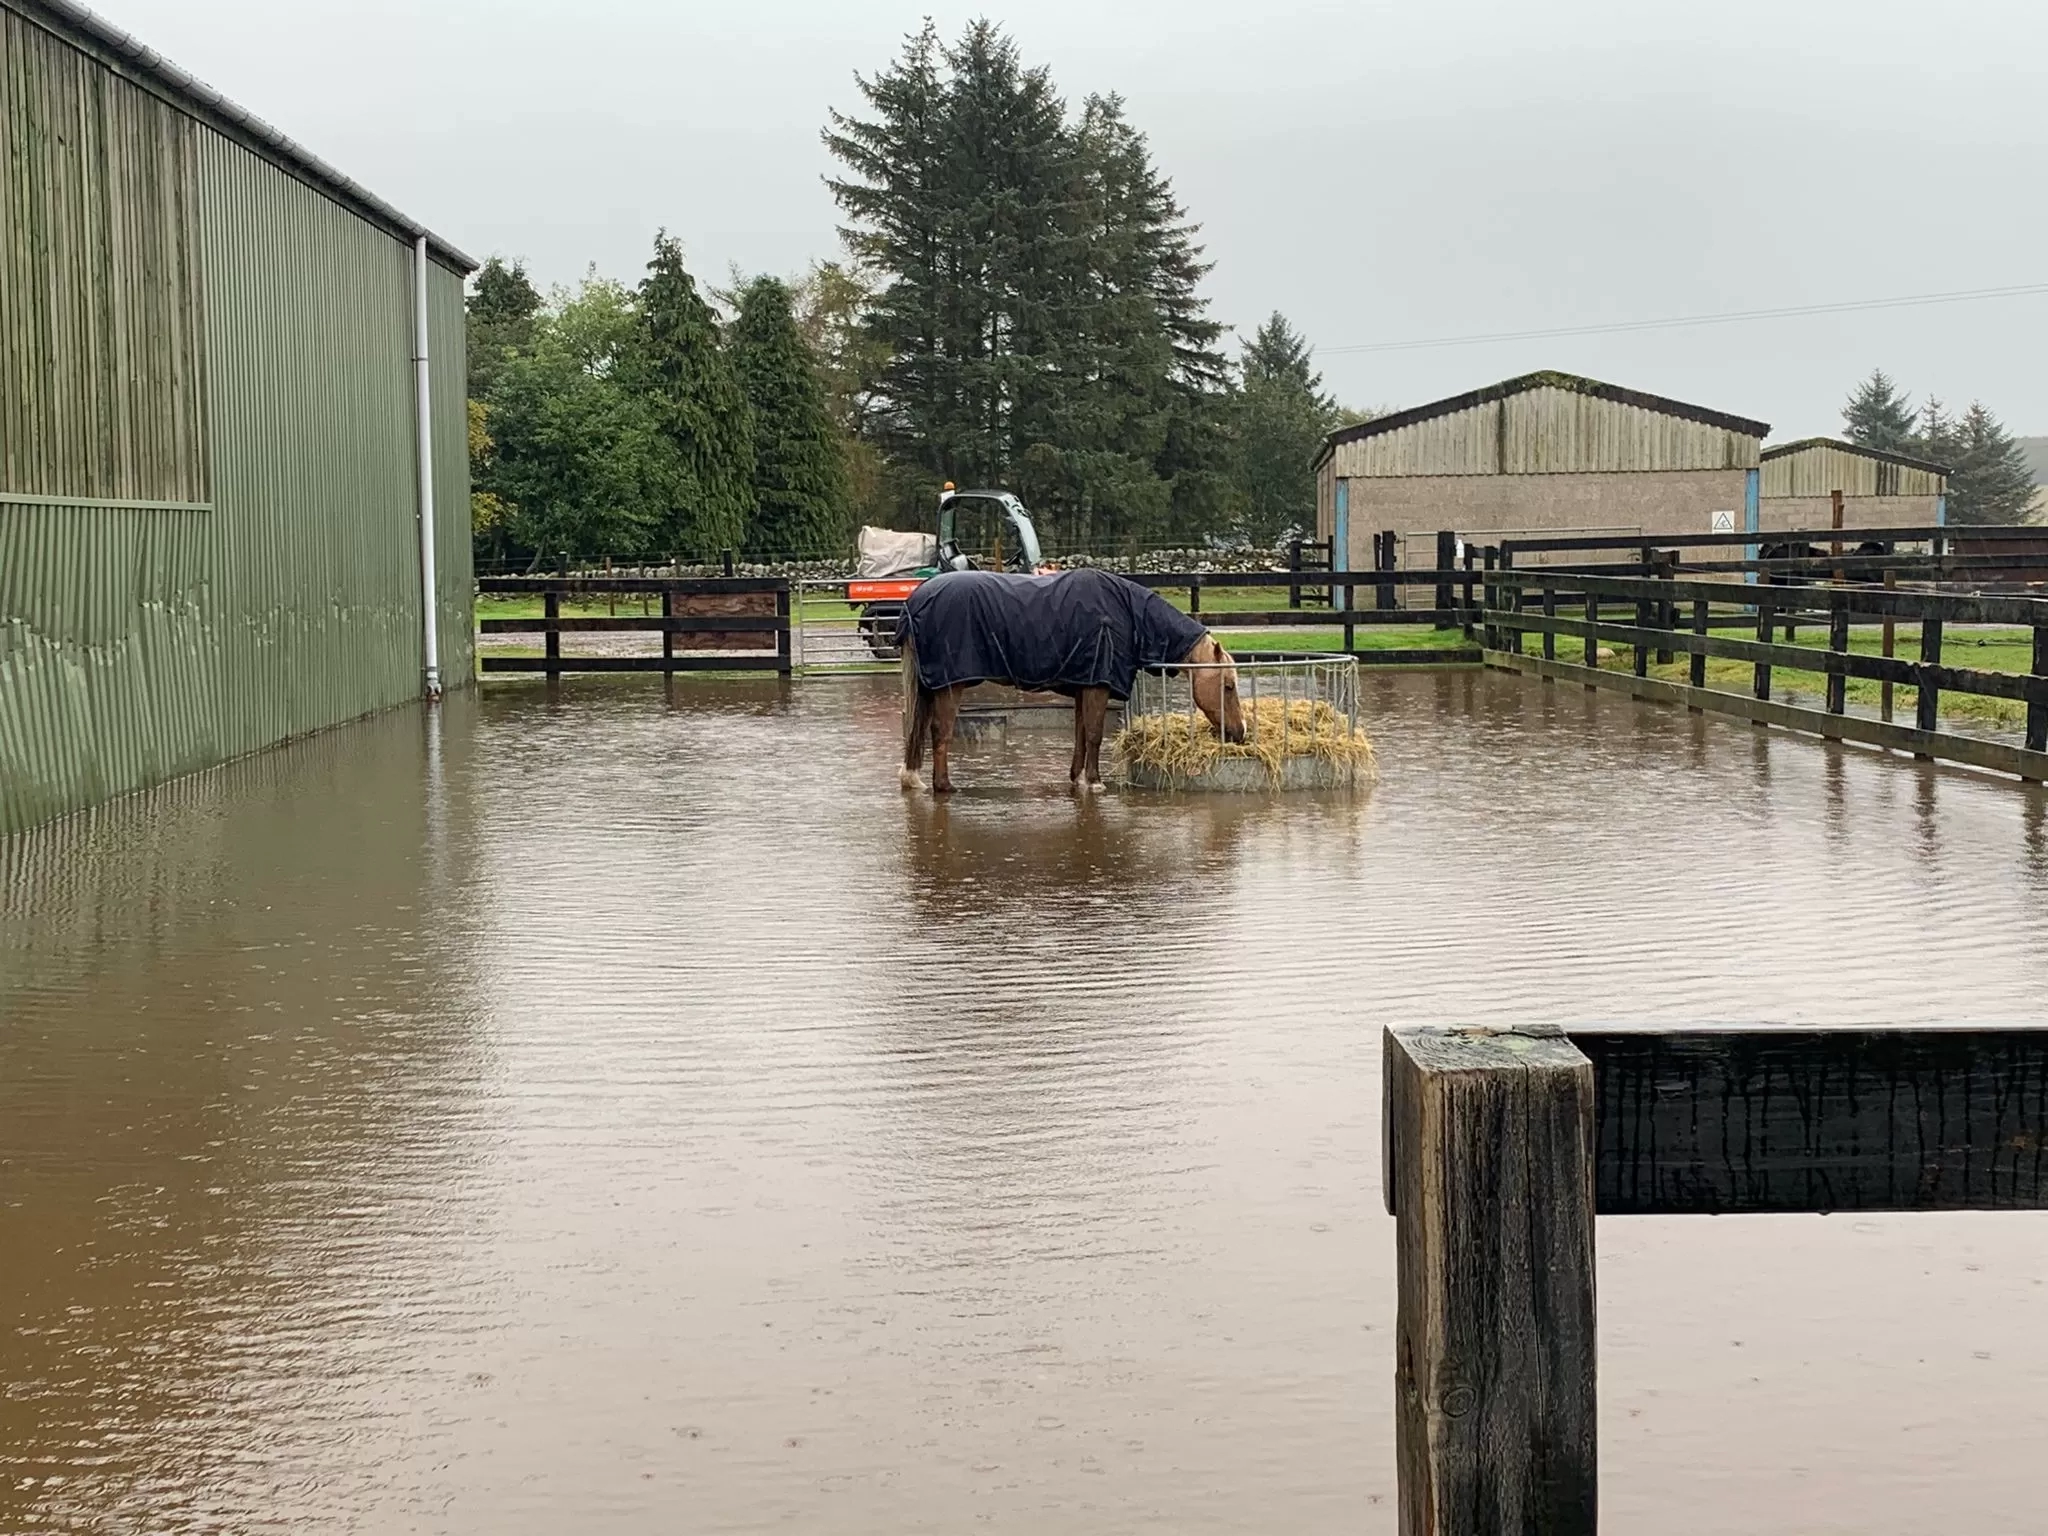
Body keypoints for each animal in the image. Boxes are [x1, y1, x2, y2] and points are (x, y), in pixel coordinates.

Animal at [897, 573, 1245, 798]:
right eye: (1228, 686)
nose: (1239, 733)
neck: (1127, 615)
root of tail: (916, 601)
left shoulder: (1084, 686)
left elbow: (1081, 734)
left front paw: (1077, 780)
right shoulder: (1097, 688)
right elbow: (1094, 735)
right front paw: (1095, 782)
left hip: (931, 687)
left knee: (920, 729)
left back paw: (915, 780)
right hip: (949, 686)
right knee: (939, 732)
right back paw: (943, 786)